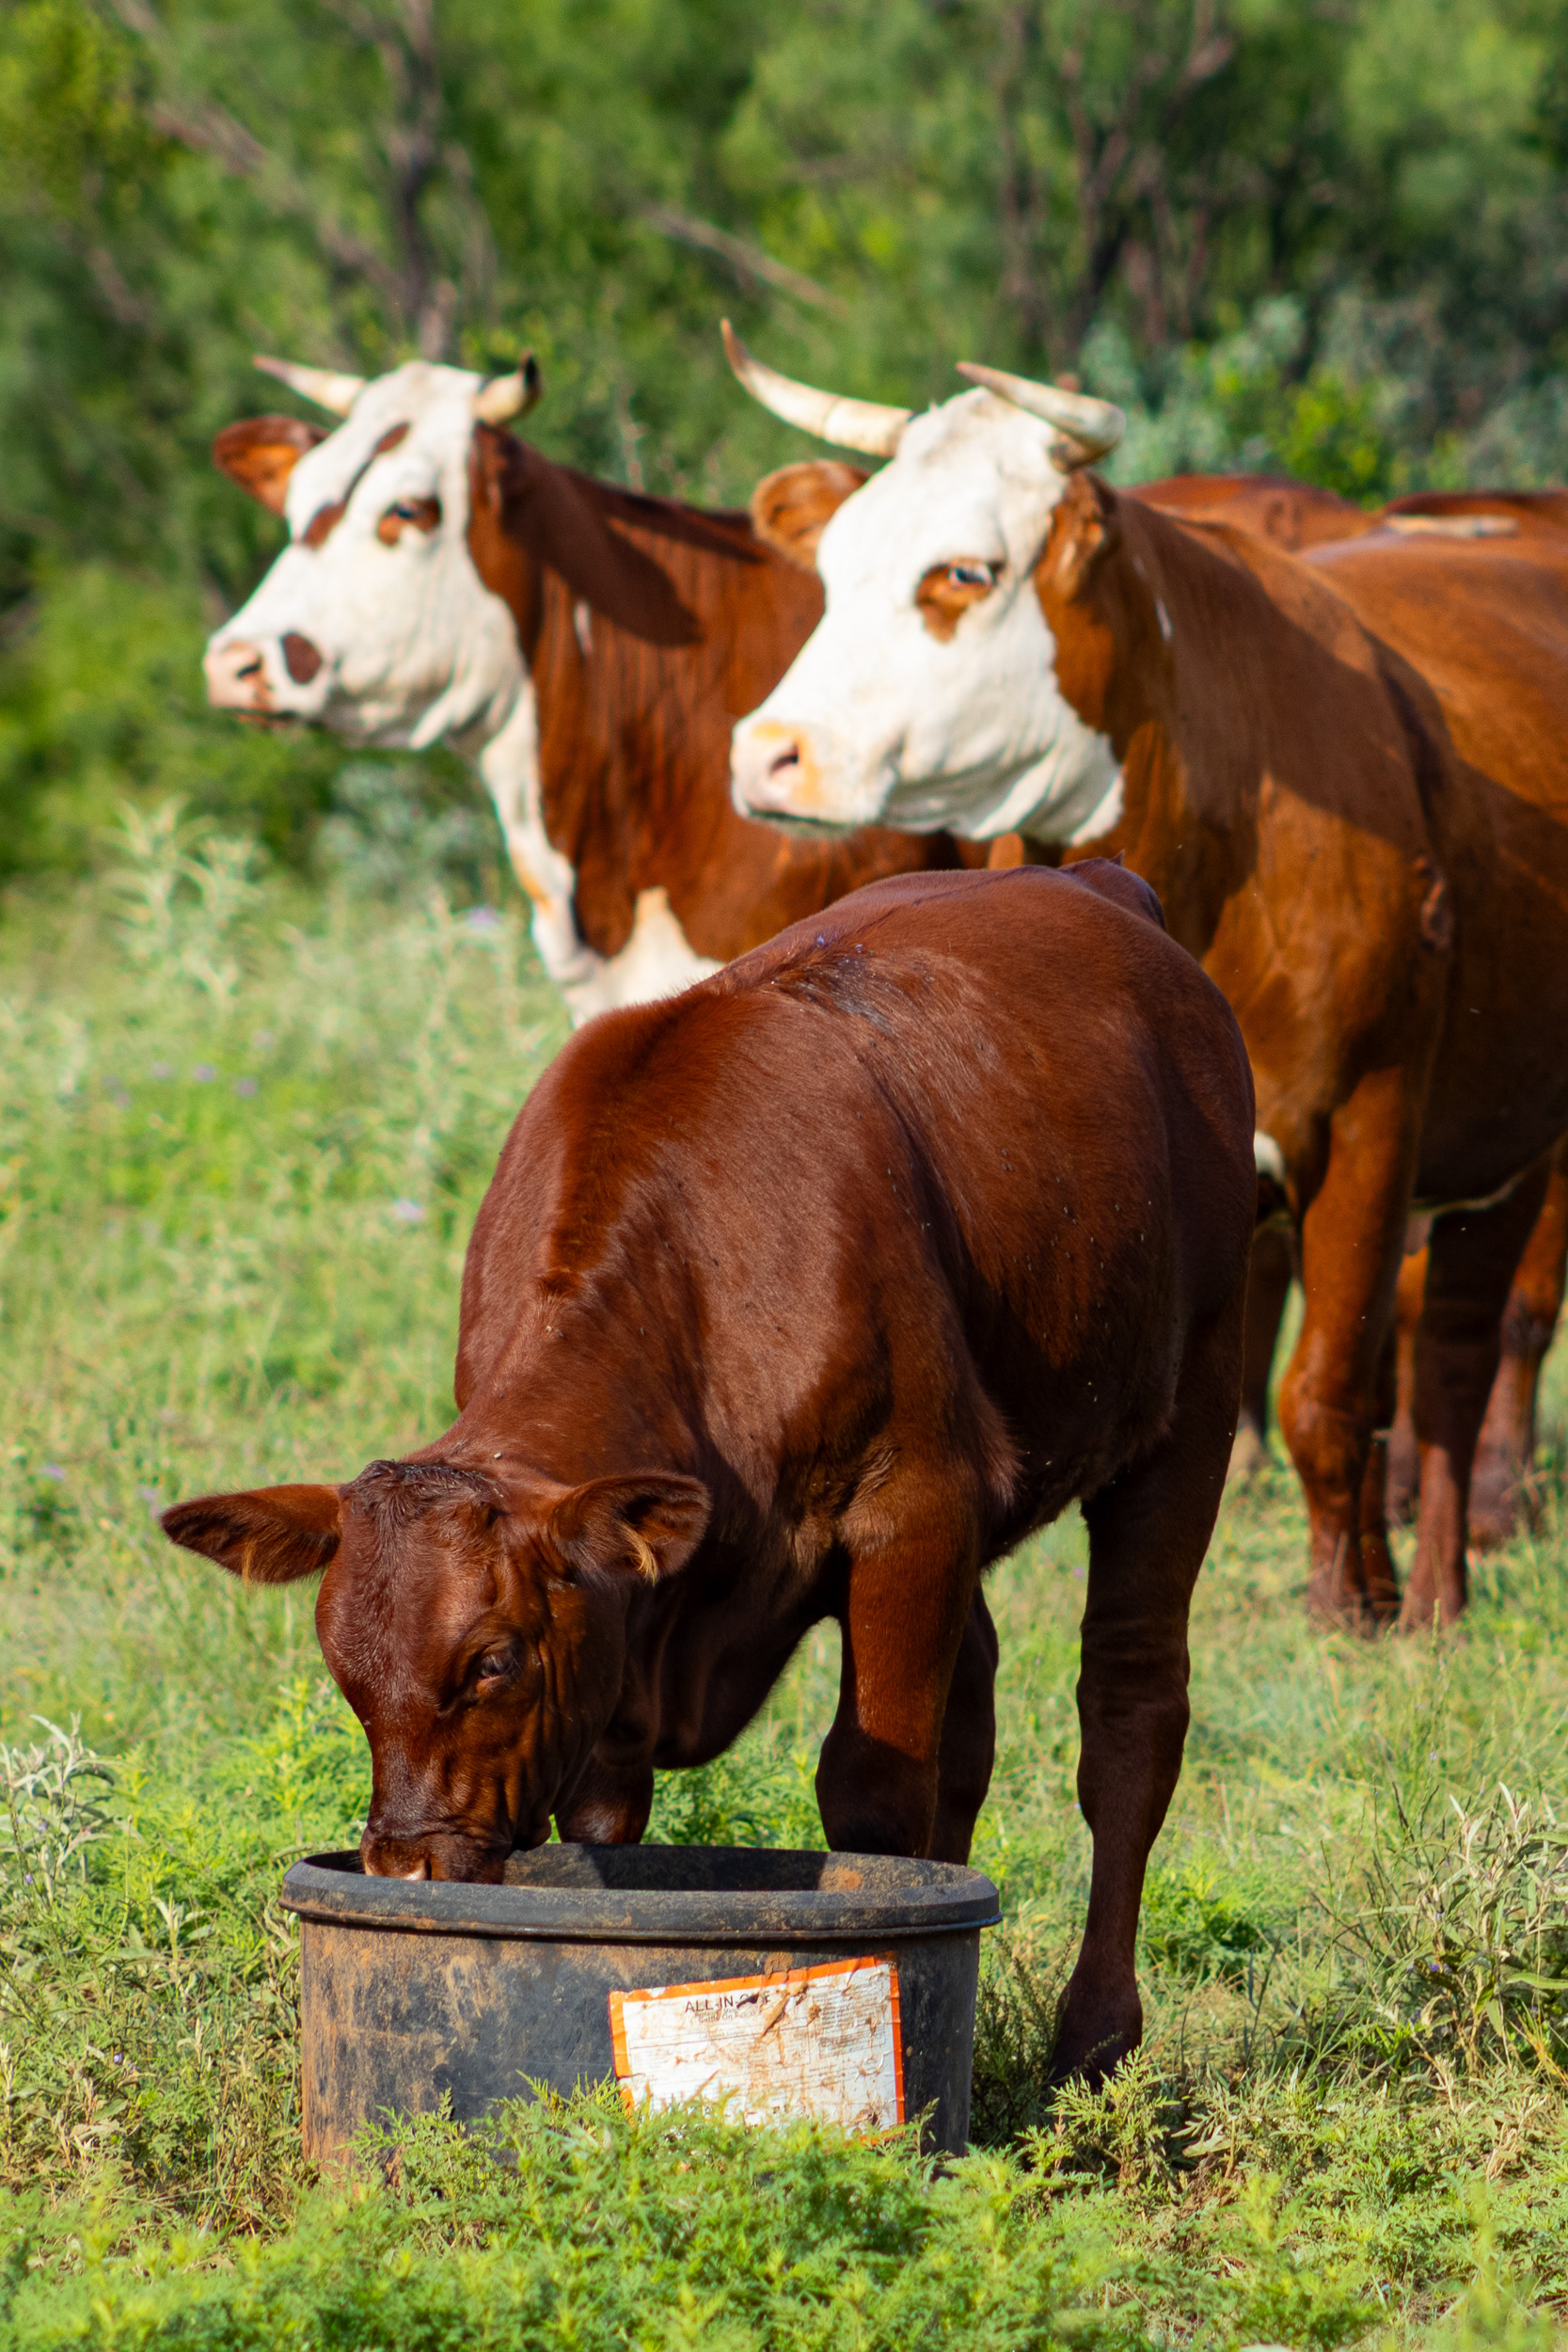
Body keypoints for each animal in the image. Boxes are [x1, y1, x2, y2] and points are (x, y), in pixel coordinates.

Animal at [161, 861, 1256, 2086]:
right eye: (342, 1666)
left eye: (491, 1660)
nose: (406, 1866)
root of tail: (1088, 881)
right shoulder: (618, 1631)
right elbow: (610, 1813)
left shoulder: (913, 1511)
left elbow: (873, 1791)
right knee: (974, 1712)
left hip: (1191, 1403)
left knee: (1128, 1709)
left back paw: (1094, 2034)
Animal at [724, 329, 1568, 1630]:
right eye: (834, 564)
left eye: (963, 572)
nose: (771, 752)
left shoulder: (1370, 1120)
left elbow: (1324, 1392)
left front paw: (1341, 1612)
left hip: (1502, 1145)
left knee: (1456, 1359)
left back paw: (1431, 1593)